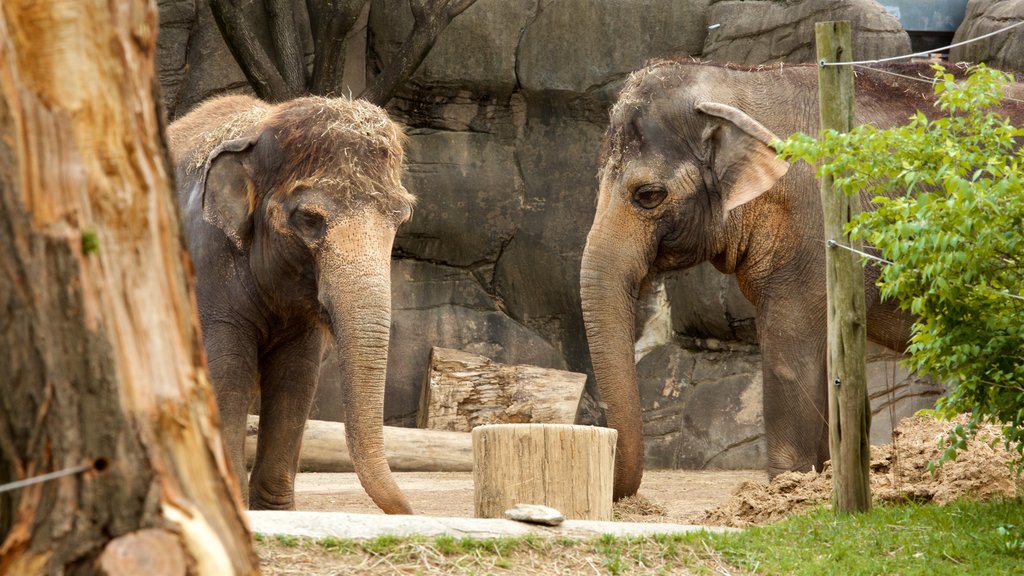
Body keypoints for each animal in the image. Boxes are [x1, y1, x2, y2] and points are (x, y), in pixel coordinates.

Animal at [165, 94, 413, 510]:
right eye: (310, 219)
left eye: (402, 217)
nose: (406, 511)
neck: (262, 126)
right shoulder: (207, 265)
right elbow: (227, 371)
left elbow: (296, 377)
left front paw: (274, 511)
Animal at [585, 59, 1024, 498]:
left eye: (648, 195)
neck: (739, 82)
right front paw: (822, 479)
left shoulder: (816, 231)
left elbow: (789, 352)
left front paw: (787, 488)